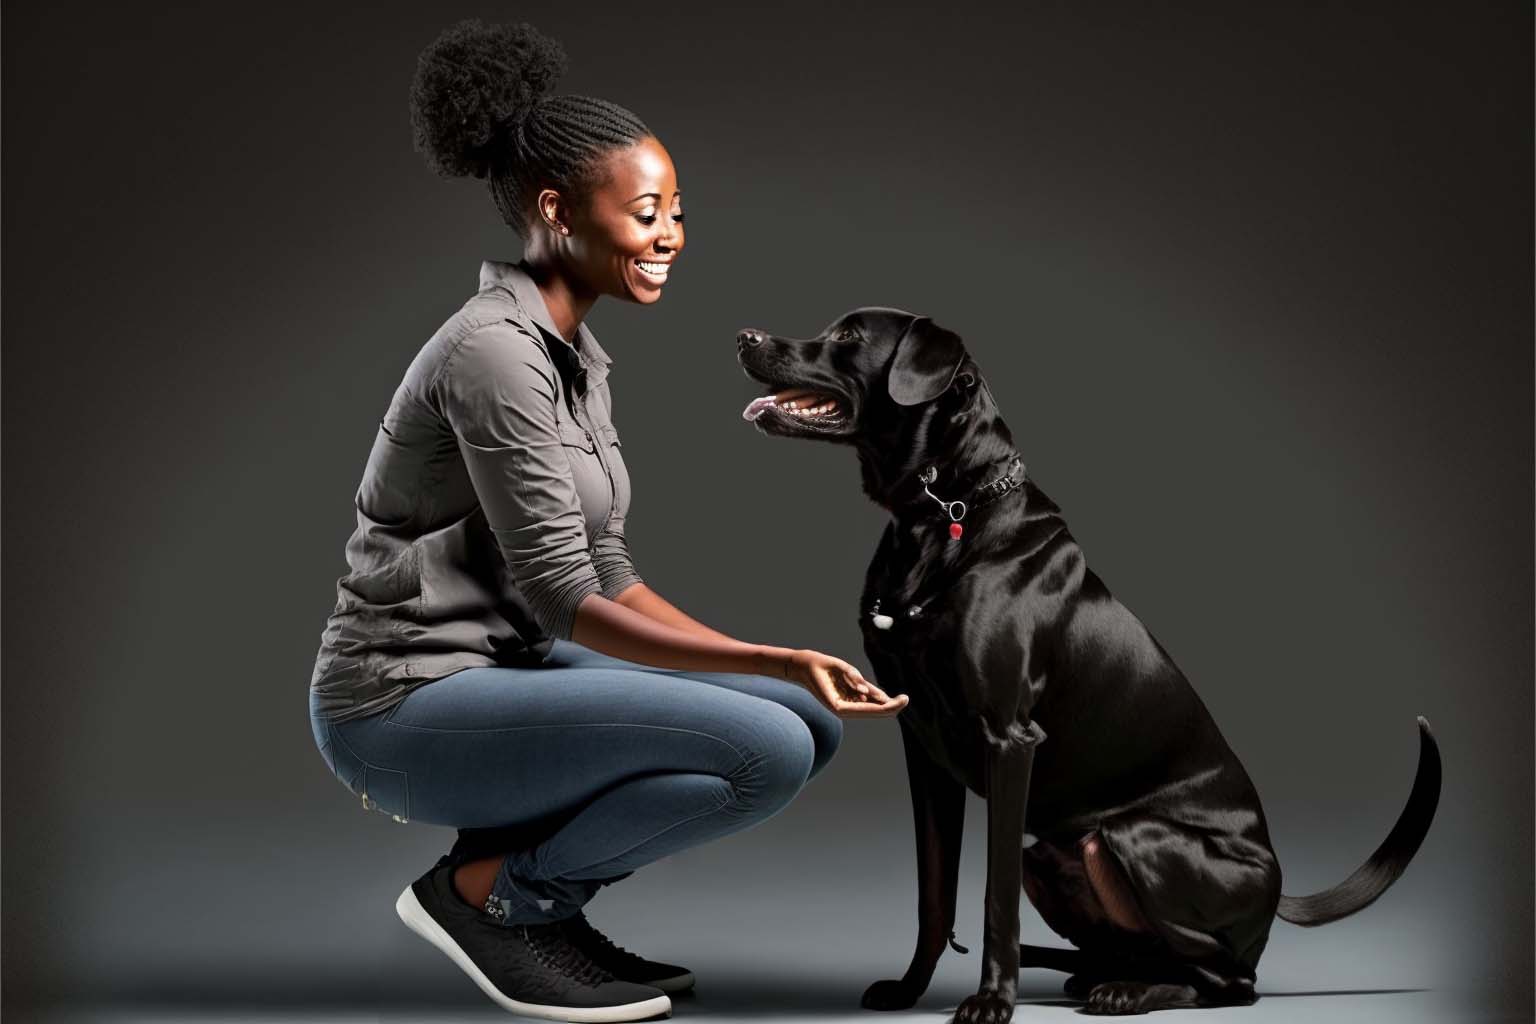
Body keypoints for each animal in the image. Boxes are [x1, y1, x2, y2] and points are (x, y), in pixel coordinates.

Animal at [731, 308, 1437, 1019]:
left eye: (849, 338)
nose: (744, 338)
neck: (945, 512)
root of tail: (1278, 885)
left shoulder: (1008, 737)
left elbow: (992, 897)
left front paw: (993, 1000)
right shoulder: (921, 748)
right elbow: (935, 892)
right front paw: (909, 988)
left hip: (1131, 838)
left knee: (1231, 979)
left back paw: (1130, 991)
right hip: (1050, 855)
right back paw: (1101, 976)